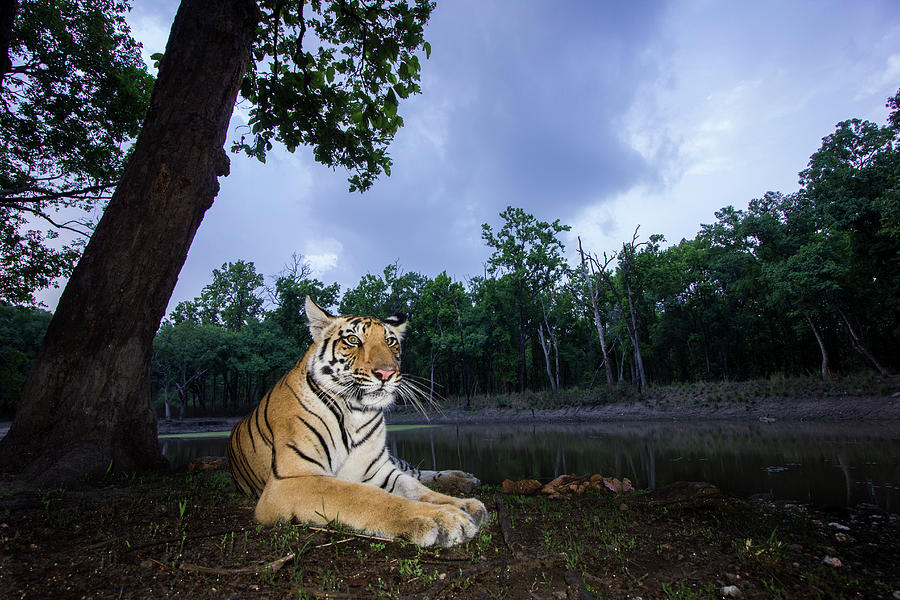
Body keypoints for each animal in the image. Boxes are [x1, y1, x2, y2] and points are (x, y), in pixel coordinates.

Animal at [229, 296, 488, 548]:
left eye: (390, 342)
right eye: (353, 340)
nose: (386, 373)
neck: (356, 411)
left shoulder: (381, 469)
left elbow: (417, 488)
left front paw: (464, 505)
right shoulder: (290, 480)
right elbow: (368, 496)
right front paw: (443, 517)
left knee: (418, 472)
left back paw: (465, 479)